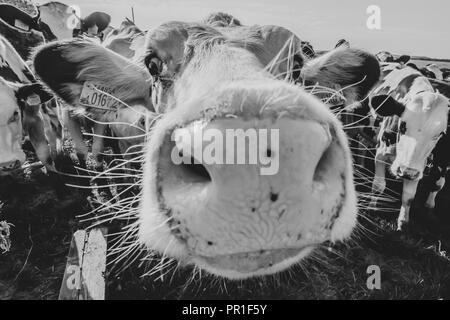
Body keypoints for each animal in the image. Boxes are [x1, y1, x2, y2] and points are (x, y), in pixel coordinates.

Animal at [368, 63, 448, 230]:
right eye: (403, 125)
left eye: (440, 134)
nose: (405, 171)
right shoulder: (381, 153)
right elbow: (378, 185)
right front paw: (372, 207)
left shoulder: (418, 167)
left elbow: (409, 196)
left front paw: (403, 221)